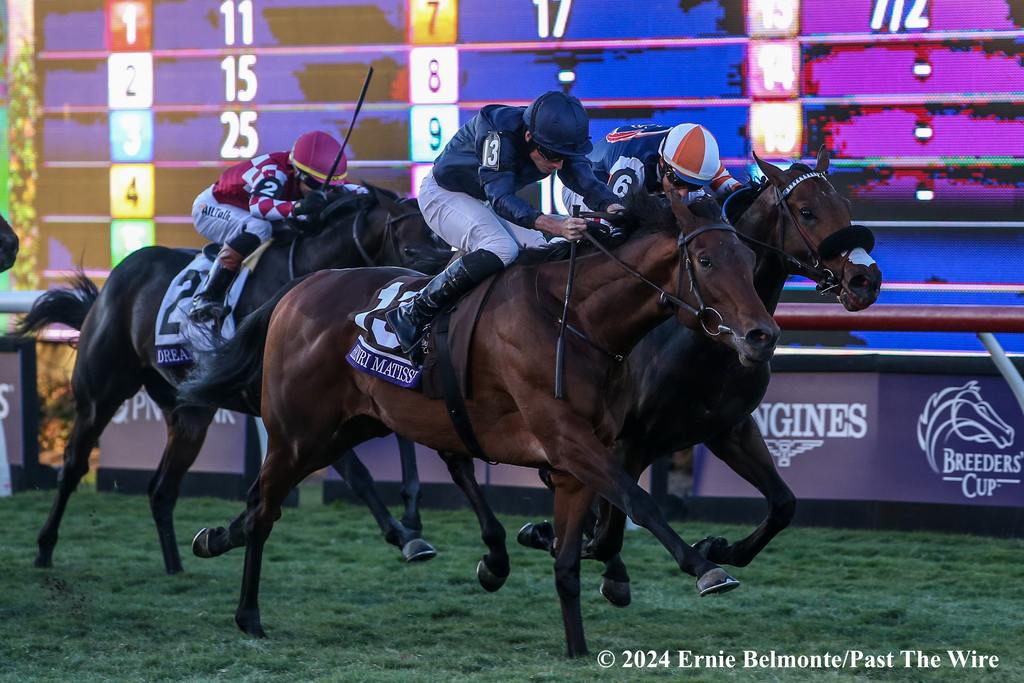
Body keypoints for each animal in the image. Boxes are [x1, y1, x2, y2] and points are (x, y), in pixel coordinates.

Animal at [17, 185, 452, 573]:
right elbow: (358, 474)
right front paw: (403, 535)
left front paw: (412, 518)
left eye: (441, 242)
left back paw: (175, 566)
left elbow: (406, 446)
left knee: (161, 489)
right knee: (73, 467)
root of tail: (114, 280)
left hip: (189, 415)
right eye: (411, 247)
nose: (422, 313)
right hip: (101, 393)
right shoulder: (300, 413)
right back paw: (43, 548)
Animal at [182, 187, 774, 655]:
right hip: (298, 432)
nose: (762, 335)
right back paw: (248, 614)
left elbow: (568, 562)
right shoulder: (569, 440)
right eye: (705, 261)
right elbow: (639, 500)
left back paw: (217, 539)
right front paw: (706, 566)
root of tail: (300, 288)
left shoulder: (579, 458)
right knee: (265, 511)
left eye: (749, 258)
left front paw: (577, 649)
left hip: (349, 427)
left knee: (264, 500)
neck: (576, 319)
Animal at [516, 148, 884, 602]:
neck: (709, 344)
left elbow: (784, 504)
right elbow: (610, 526)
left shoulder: (729, 428)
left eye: (846, 206)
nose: (866, 279)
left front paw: (717, 546)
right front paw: (553, 537)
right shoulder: (630, 440)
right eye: (807, 211)